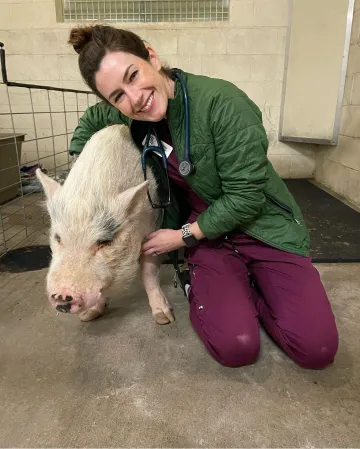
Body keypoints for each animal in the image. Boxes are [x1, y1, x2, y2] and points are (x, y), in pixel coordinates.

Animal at [36, 124, 176, 324]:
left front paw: (164, 318)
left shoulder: (152, 227)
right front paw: (88, 316)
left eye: (104, 242)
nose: (62, 296)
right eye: (58, 238)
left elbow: (148, 273)